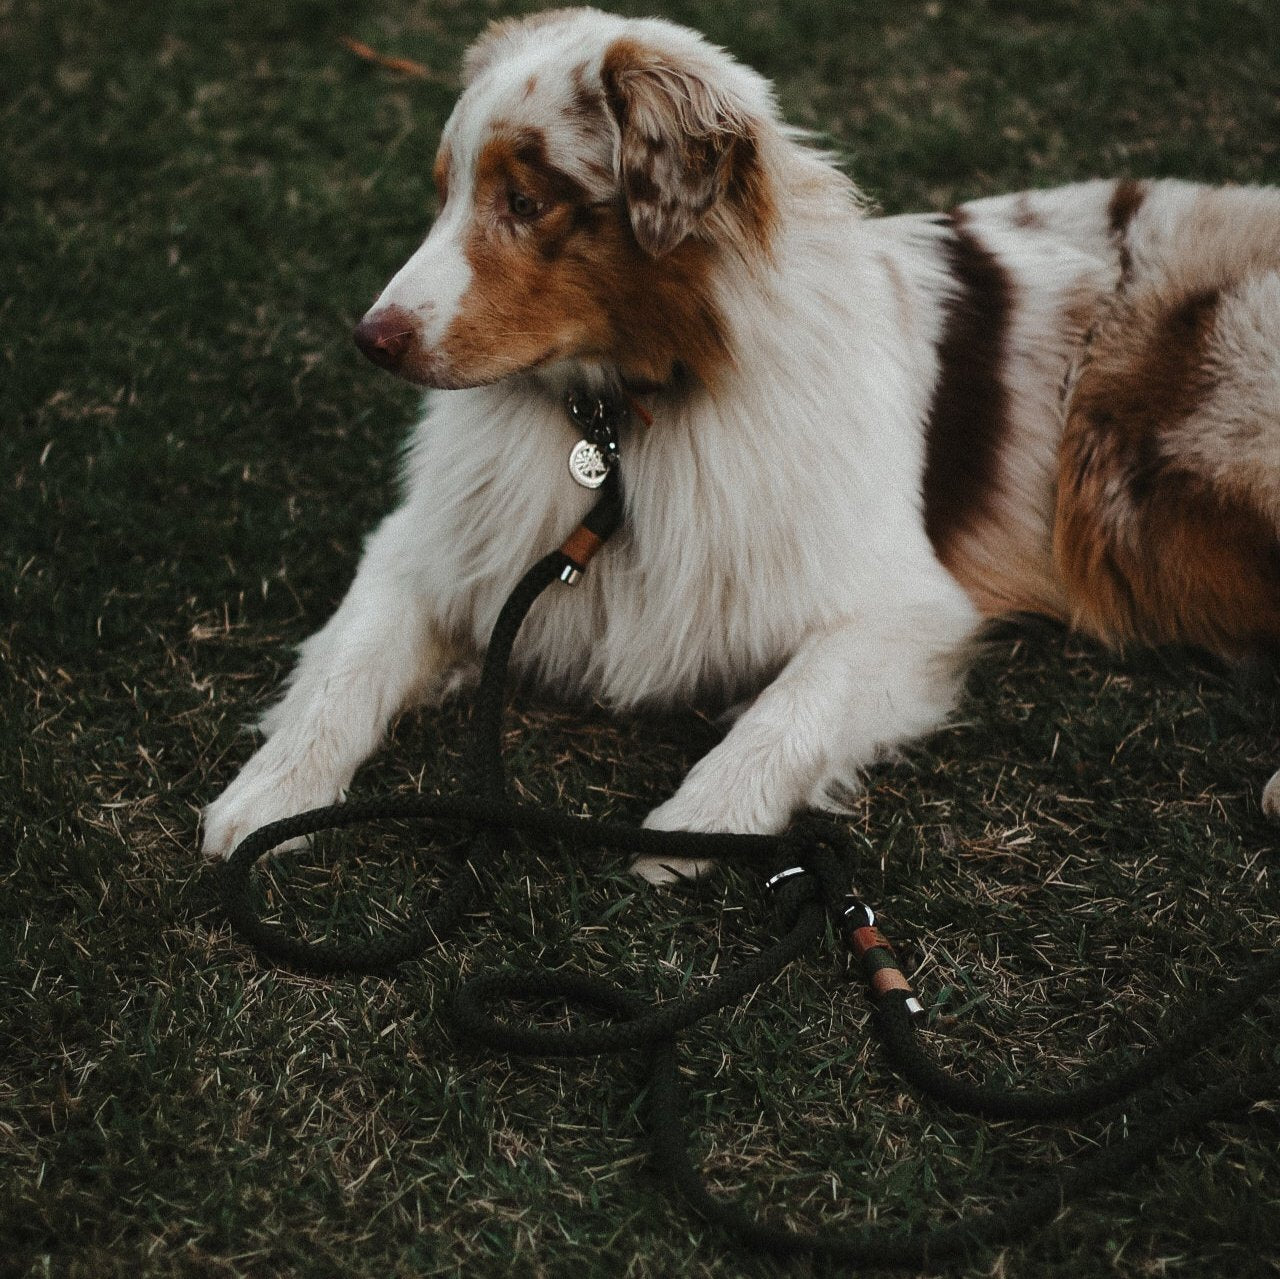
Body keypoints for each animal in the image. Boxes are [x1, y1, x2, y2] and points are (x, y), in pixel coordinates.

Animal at [199, 5, 1280, 880]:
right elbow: (346, 668)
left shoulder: (905, 608)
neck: (625, 418)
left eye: (526, 201)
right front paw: (269, 799)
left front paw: (698, 820)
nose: (369, 338)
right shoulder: (433, 546)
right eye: (444, 193)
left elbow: (790, 707)